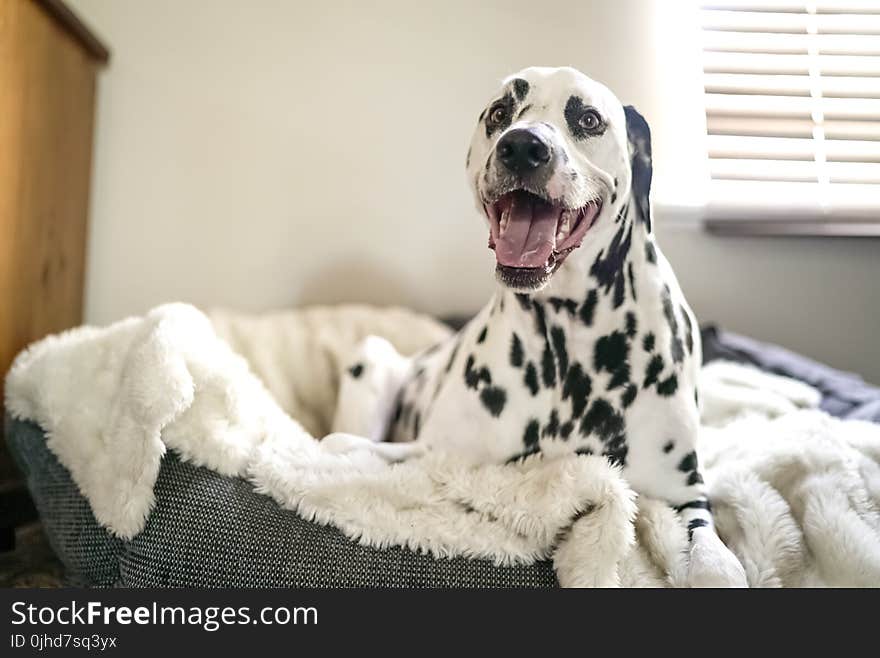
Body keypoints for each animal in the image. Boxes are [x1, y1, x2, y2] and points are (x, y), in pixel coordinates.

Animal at [326, 66, 744, 588]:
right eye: (500, 112)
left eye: (588, 118)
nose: (523, 146)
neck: (569, 343)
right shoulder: (434, 456)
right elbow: (353, 450)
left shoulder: (683, 495)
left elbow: (715, 559)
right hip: (372, 356)